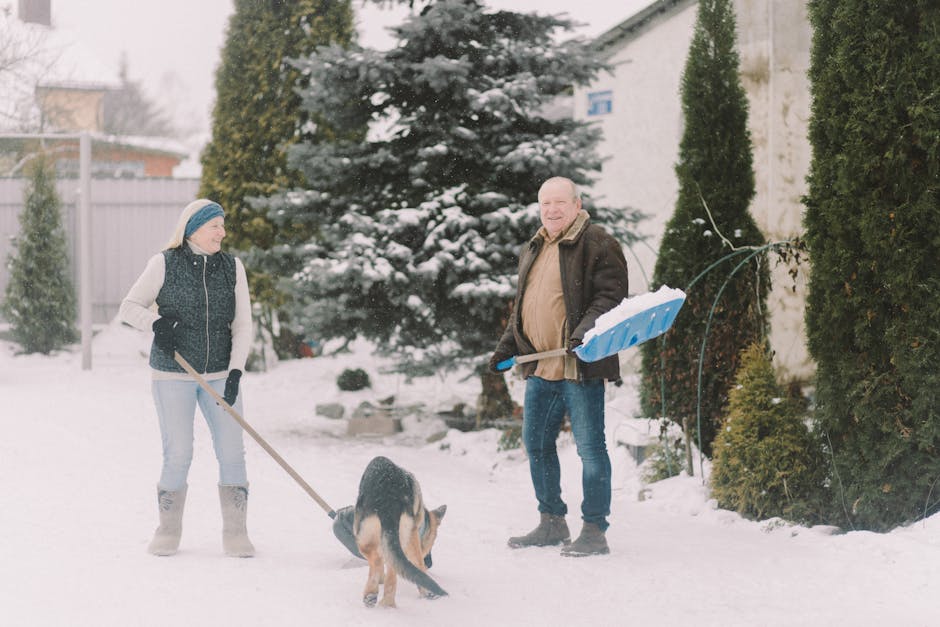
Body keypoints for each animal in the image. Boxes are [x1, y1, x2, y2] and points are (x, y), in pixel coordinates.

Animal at [352, 456, 448, 608]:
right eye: (432, 544)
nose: (430, 563)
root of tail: (390, 499)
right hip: (400, 538)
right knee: (397, 573)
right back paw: (388, 604)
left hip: (361, 537)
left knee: (376, 560)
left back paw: (371, 594)